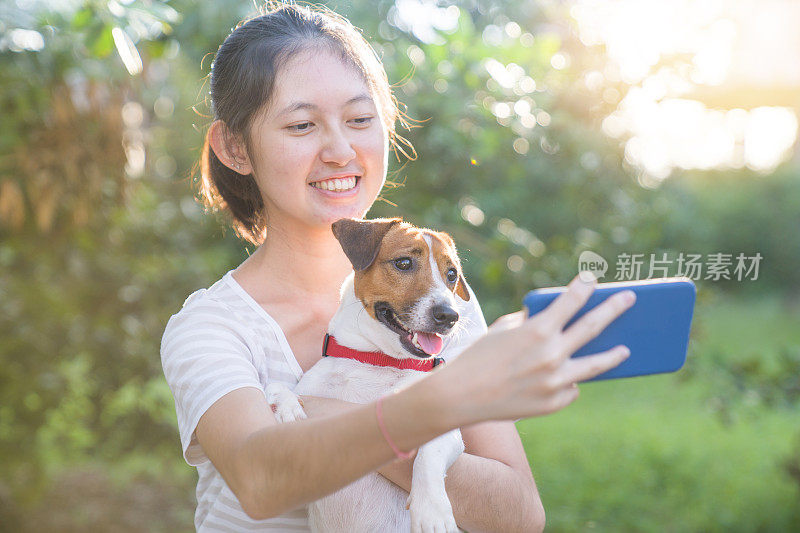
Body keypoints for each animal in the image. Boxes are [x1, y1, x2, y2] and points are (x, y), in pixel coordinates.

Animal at [266, 217, 472, 532]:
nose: (450, 316)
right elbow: (278, 388)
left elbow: (429, 455)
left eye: (452, 274)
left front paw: (431, 510)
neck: (378, 360)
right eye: (403, 263)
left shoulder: (446, 429)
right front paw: (288, 409)